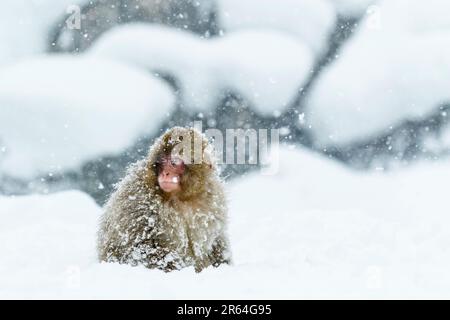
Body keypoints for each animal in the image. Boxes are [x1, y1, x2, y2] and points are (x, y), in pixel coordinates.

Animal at [97, 126, 230, 272]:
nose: (166, 173)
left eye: (174, 163)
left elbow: (216, 240)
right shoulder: (137, 196)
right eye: (161, 163)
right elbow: (139, 246)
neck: (181, 197)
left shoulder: (213, 198)